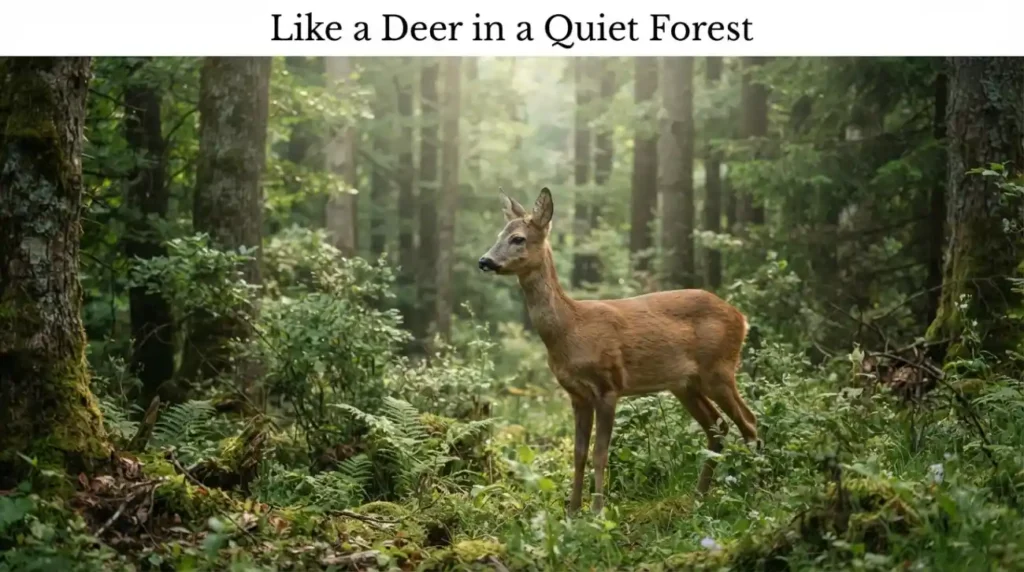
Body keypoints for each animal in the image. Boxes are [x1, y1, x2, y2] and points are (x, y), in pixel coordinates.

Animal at [478, 187, 760, 514]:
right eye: (500, 234)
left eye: (518, 238)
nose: (484, 260)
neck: (570, 328)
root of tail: (741, 318)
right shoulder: (577, 395)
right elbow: (578, 453)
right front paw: (572, 511)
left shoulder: (608, 385)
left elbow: (600, 453)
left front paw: (598, 511)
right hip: (686, 384)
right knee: (719, 427)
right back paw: (700, 497)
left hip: (719, 369)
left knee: (749, 422)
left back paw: (753, 490)